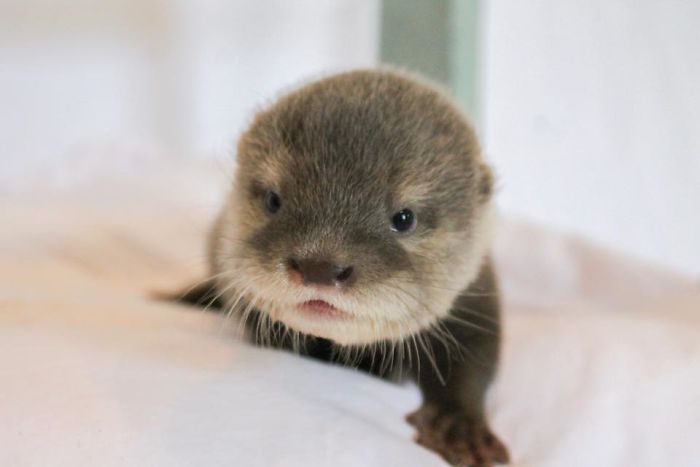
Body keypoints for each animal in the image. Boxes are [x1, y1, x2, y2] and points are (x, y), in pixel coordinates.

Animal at [175, 69, 509, 466]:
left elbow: (475, 356)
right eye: (274, 200)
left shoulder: (477, 294)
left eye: (404, 218)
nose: (319, 266)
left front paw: (458, 426)